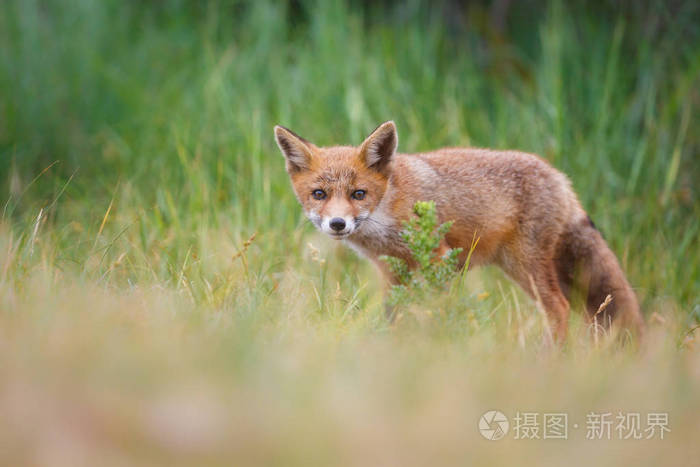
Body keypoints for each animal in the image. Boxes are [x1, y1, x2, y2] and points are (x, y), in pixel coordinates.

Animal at [274, 119, 644, 340]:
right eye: (319, 195)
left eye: (358, 194)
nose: (338, 223)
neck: (387, 212)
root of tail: (561, 179)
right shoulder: (391, 269)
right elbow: (394, 315)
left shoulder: (440, 257)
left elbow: (439, 307)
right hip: (540, 270)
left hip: (529, 266)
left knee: (559, 309)